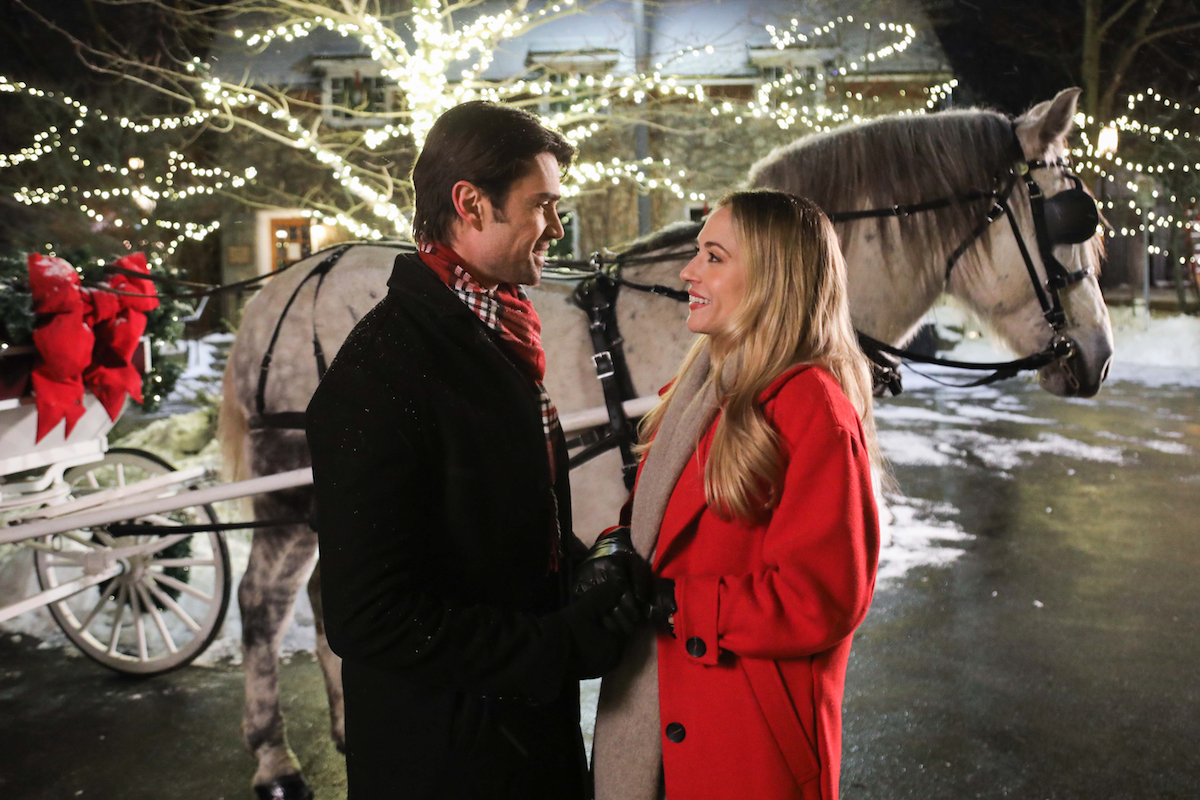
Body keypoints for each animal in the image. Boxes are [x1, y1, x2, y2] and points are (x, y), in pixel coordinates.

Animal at [218, 84, 1113, 796]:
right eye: (1069, 222)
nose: (1098, 357)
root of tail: (286, 284)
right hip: (291, 487)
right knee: (265, 605)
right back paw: (273, 761)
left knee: (331, 597)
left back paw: (342, 726)